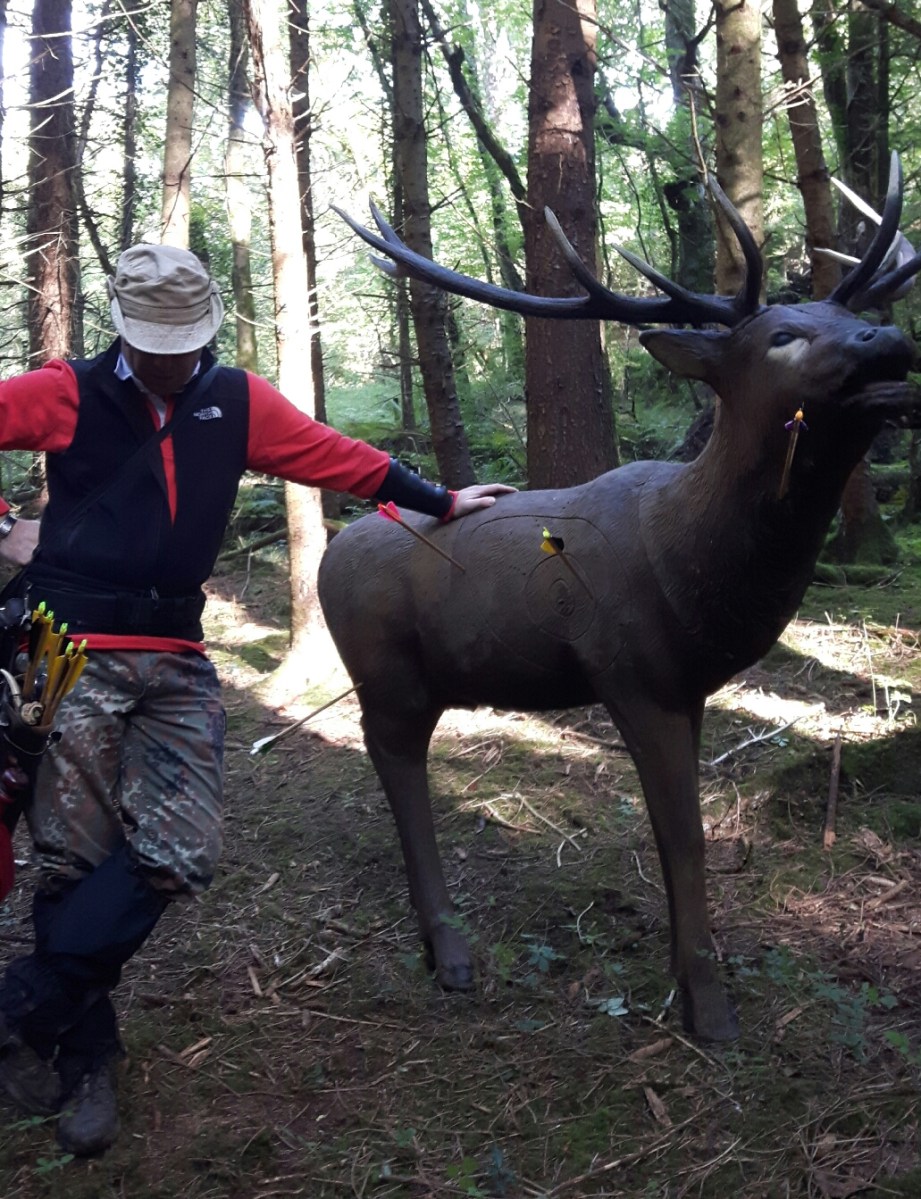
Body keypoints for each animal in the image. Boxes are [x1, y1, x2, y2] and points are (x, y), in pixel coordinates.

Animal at [318, 155, 921, 1042]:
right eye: (781, 335)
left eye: (844, 312)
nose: (887, 337)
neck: (695, 568)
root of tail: (327, 555)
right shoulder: (632, 671)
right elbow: (684, 836)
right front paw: (708, 1006)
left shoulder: (687, 685)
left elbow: (677, 839)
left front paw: (682, 972)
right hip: (388, 672)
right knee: (394, 761)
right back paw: (450, 949)